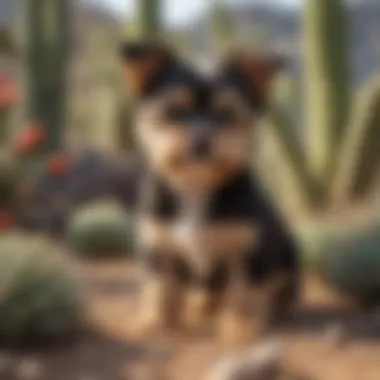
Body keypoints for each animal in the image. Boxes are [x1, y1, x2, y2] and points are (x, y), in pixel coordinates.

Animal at [119, 42, 300, 348]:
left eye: (226, 114)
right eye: (176, 111)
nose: (201, 139)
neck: (196, 188)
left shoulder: (251, 251)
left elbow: (244, 292)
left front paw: (241, 328)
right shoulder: (158, 244)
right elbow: (159, 286)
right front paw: (154, 322)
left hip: (289, 254)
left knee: (277, 288)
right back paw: (200, 305)